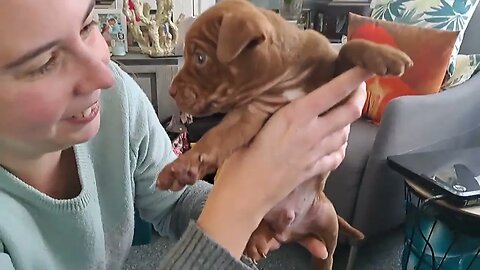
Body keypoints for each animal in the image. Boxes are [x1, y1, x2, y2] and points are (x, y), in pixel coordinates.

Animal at [157, 1, 412, 268]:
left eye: (200, 58)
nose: (171, 91)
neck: (283, 79)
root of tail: (292, 231)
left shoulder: (335, 85)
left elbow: (347, 48)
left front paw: (386, 55)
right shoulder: (249, 114)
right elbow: (215, 139)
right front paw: (178, 169)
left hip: (327, 221)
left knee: (327, 254)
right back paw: (256, 240)